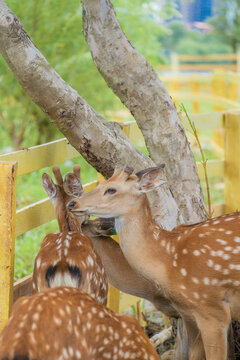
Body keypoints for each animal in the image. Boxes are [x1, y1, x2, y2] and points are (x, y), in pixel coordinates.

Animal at [67, 165, 240, 360]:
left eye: (111, 190)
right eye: (101, 183)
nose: (72, 204)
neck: (169, 262)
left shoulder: (212, 310)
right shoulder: (188, 313)